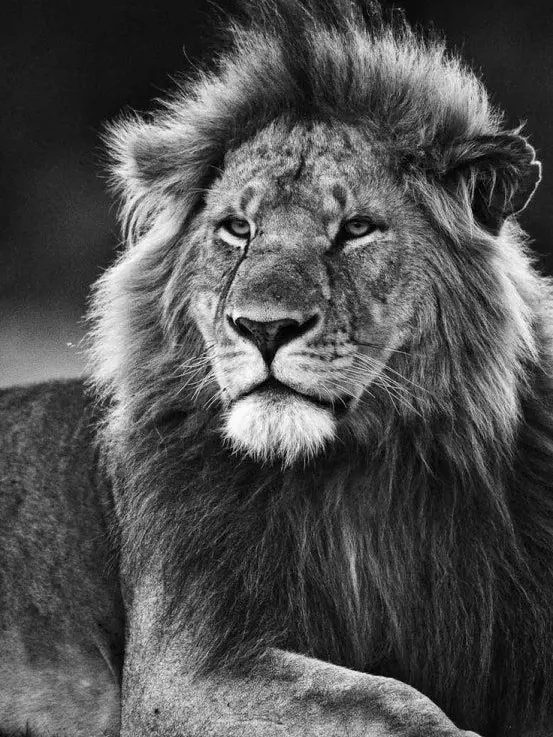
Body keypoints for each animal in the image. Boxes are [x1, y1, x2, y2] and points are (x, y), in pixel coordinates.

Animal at [1, 0, 551, 735]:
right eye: (237, 228)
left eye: (356, 228)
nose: (264, 328)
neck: (360, 484)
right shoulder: (181, 672)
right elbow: (394, 702)